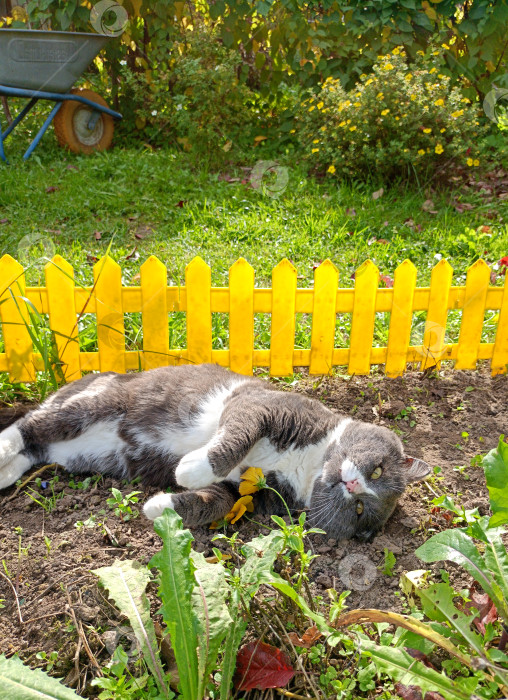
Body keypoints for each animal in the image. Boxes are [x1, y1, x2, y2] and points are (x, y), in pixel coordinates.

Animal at [0, 364, 430, 544]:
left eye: (359, 510)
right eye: (377, 470)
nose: (353, 483)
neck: (308, 465)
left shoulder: (246, 491)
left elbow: (213, 502)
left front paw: (159, 506)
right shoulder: (260, 406)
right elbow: (235, 436)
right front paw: (190, 469)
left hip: (78, 456)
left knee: (37, 449)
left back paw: (5, 471)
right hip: (98, 402)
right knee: (30, 425)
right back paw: (4, 446)